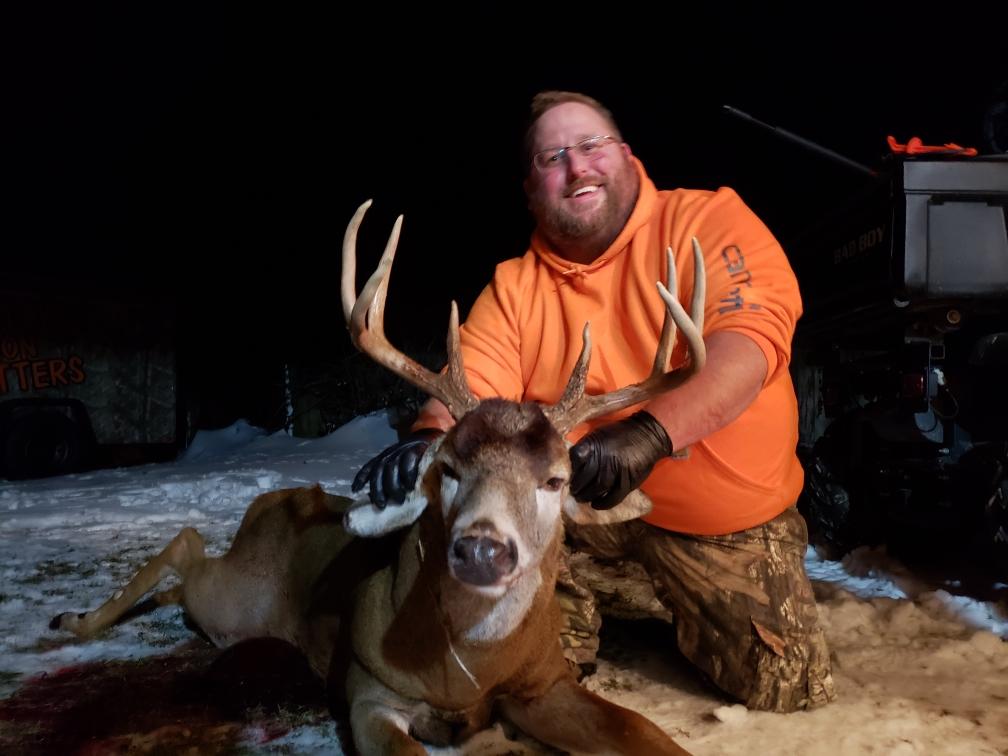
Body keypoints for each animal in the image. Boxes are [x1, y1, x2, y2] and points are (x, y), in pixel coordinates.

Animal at [50, 199, 707, 755]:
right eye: (447, 468)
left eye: (557, 480)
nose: (483, 550)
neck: (468, 673)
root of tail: (272, 503)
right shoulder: (368, 694)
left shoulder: (543, 686)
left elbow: (647, 735)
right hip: (238, 601)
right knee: (186, 547)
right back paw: (76, 621)